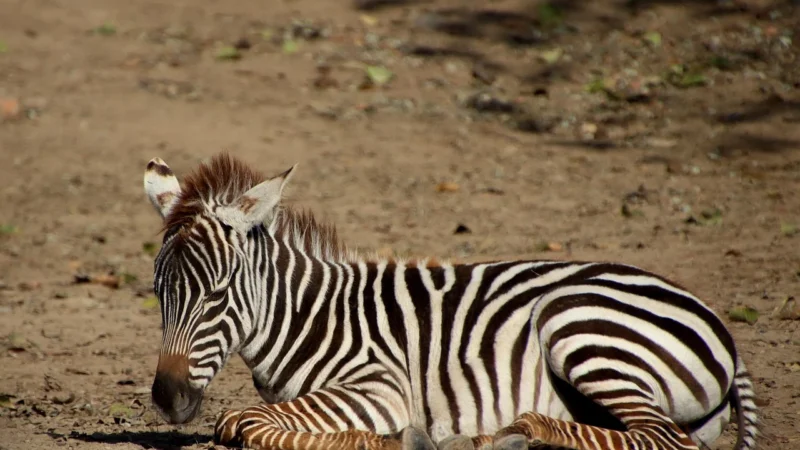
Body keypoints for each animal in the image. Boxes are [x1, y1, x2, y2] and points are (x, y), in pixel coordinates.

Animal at [143, 153, 758, 450]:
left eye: (218, 293)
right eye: (158, 294)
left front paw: (389, 440)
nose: (168, 401)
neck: (308, 318)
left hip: (578, 325)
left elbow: (242, 422)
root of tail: (716, 324)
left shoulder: (380, 385)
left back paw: (515, 433)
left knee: (665, 440)